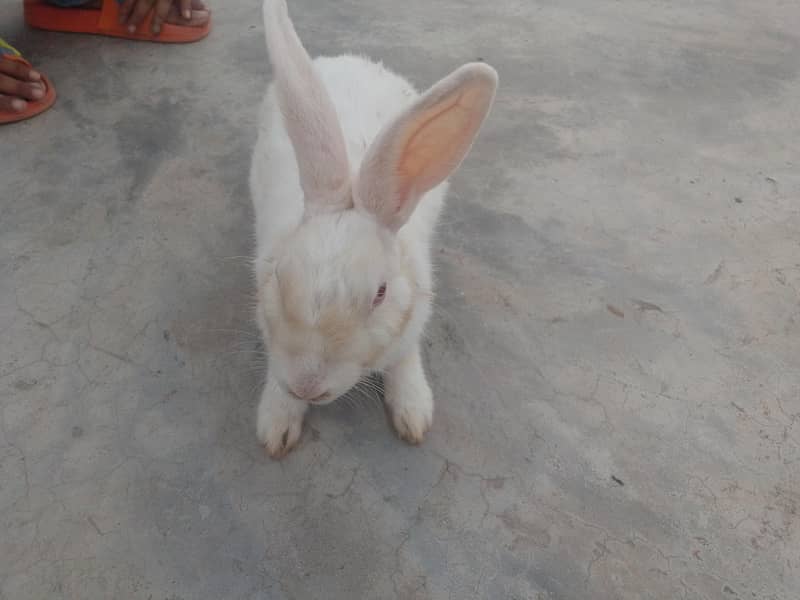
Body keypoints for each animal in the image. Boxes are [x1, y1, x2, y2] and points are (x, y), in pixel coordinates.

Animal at [250, 0, 498, 458]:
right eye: (277, 276)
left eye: (380, 294)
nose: (307, 386)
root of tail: (353, 60)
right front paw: (277, 424)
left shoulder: (411, 324)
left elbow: (404, 362)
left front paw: (414, 413)